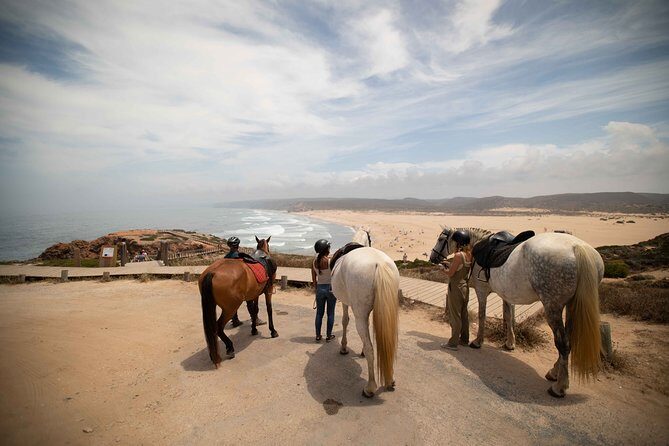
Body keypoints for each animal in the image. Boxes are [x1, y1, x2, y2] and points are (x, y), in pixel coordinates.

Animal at [199, 236, 278, 367]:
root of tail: (212, 273)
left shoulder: (255, 293)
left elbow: (254, 310)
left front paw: (254, 328)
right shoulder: (268, 290)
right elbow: (269, 309)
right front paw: (273, 331)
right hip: (230, 308)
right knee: (218, 326)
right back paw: (230, 347)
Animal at [331, 228, 400, 397]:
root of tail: (378, 263)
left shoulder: (346, 303)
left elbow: (344, 321)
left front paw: (344, 347)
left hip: (359, 314)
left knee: (371, 349)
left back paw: (370, 387)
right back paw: (390, 380)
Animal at [430, 227, 604, 398]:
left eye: (441, 239)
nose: (432, 257)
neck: (477, 246)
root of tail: (578, 247)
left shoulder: (481, 290)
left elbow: (482, 315)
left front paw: (478, 342)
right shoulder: (506, 294)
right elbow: (508, 317)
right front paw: (510, 343)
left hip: (552, 307)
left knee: (563, 343)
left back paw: (559, 387)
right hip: (570, 305)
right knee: (568, 340)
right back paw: (554, 372)